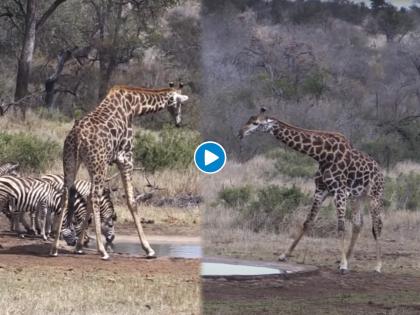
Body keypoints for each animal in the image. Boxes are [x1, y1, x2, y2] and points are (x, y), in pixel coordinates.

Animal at [49, 81, 189, 260]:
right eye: (179, 103)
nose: (178, 122)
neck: (134, 106)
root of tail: (78, 137)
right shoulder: (126, 158)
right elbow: (131, 200)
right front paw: (148, 249)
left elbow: (88, 199)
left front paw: (79, 246)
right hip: (98, 164)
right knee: (94, 196)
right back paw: (102, 251)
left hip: (71, 162)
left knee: (68, 195)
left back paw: (54, 249)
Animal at [240, 108, 384, 274]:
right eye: (249, 119)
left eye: (256, 123)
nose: (240, 132)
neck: (322, 155)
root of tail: (381, 171)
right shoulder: (321, 190)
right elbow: (308, 222)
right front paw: (284, 255)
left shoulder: (339, 191)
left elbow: (340, 227)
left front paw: (343, 265)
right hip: (357, 197)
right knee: (358, 224)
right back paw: (347, 258)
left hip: (374, 195)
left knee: (377, 225)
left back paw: (377, 266)